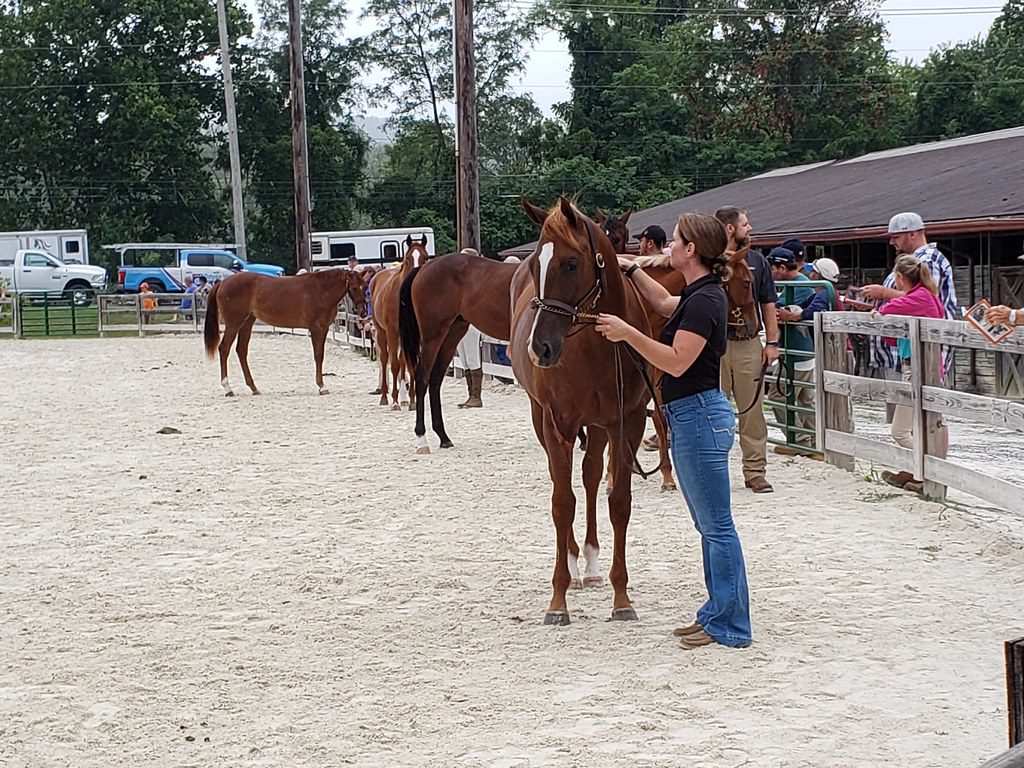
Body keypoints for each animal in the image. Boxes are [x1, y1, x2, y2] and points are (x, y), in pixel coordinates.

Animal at [201, 268, 370, 397]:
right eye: (354, 287)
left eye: (364, 286)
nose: (362, 312)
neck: (320, 290)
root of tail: (222, 282)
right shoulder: (316, 328)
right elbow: (318, 356)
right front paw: (322, 387)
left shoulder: (324, 329)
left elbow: (320, 356)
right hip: (233, 323)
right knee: (224, 349)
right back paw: (228, 388)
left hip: (247, 323)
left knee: (241, 351)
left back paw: (254, 388)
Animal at [370, 237, 430, 411]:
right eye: (408, 259)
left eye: (425, 257)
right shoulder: (392, 332)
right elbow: (395, 365)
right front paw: (395, 401)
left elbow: (410, 365)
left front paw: (412, 401)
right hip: (382, 332)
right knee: (385, 360)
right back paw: (385, 396)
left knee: (402, 362)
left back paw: (404, 398)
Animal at [397, 207, 630, 454]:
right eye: (607, 236)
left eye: (619, 236)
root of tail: (423, 268)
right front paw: (581, 437)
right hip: (432, 335)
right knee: (422, 377)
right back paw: (422, 437)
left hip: (452, 333)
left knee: (435, 379)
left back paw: (443, 436)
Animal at [509, 196, 651, 626]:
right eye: (535, 264)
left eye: (571, 264)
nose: (539, 348)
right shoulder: (559, 423)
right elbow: (561, 504)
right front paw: (557, 601)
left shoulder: (626, 422)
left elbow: (618, 501)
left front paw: (622, 597)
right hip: (542, 419)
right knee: (564, 482)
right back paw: (573, 566)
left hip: (601, 427)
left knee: (589, 476)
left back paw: (589, 565)